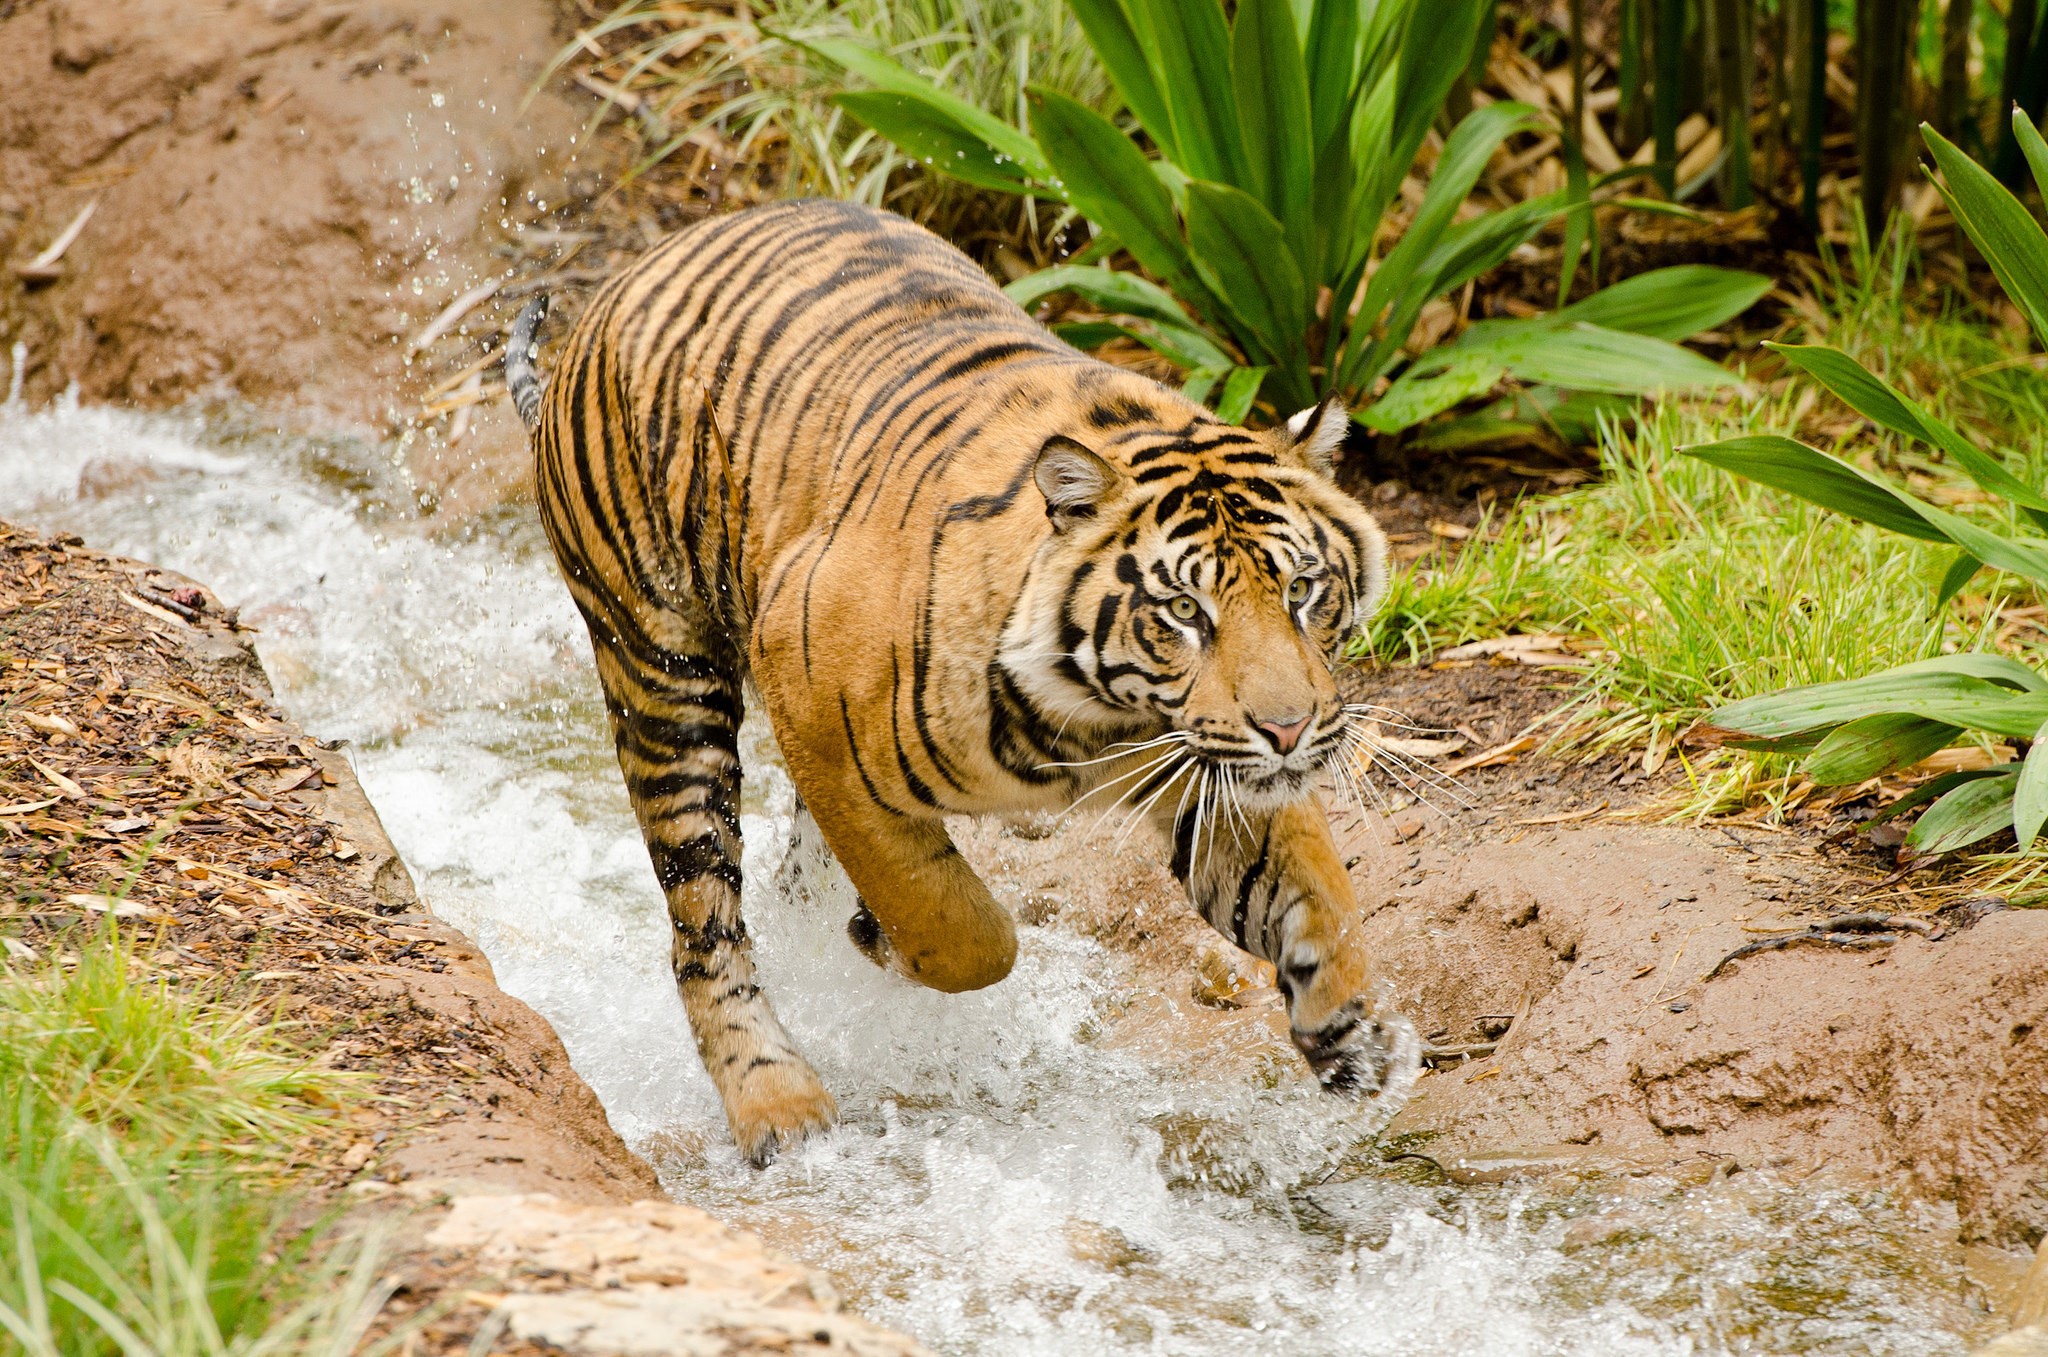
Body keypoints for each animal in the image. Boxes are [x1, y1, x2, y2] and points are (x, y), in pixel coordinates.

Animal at [506, 198, 1409, 1166]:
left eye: (1303, 589)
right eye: (1183, 611)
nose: (1290, 728)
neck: (1106, 714)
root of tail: (618, 289)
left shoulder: (1211, 768)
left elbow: (1319, 896)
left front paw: (1354, 1037)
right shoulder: (811, 697)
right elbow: (959, 926)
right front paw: (887, 938)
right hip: (664, 679)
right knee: (703, 921)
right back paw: (777, 1102)